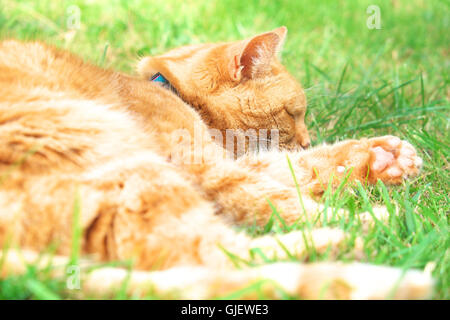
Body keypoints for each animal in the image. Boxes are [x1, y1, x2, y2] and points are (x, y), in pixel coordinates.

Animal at [0, 28, 432, 300]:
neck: (168, 90)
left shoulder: (229, 163)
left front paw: (381, 159)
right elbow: (278, 197)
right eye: (293, 114)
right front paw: (362, 211)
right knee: (203, 254)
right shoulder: (209, 170)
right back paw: (355, 235)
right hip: (117, 161)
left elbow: (296, 168)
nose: (308, 138)